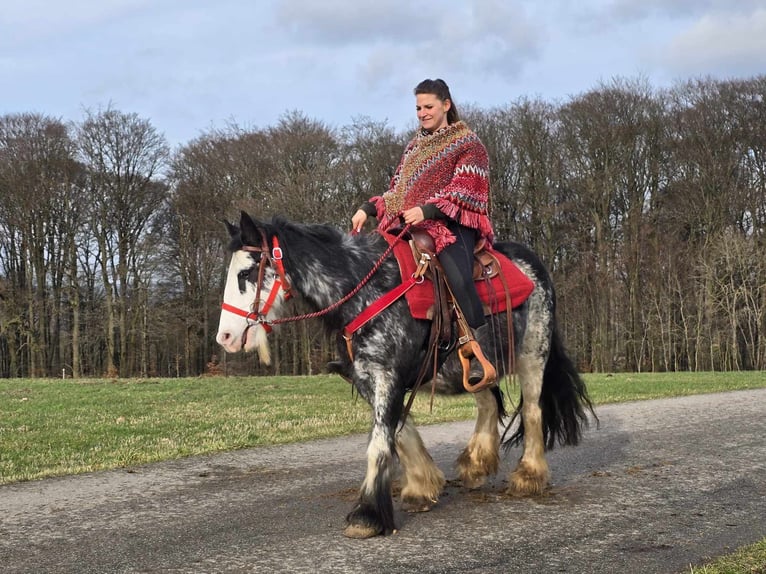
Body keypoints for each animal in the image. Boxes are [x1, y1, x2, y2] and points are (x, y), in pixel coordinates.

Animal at [216, 212, 600, 540]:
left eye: (246, 273)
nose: (226, 338)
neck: (366, 291)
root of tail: (534, 263)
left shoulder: (388, 375)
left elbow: (379, 442)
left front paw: (367, 515)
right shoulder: (369, 378)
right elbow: (399, 432)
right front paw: (422, 486)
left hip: (533, 353)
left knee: (532, 410)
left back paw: (528, 476)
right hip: (474, 365)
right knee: (488, 404)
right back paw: (476, 465)